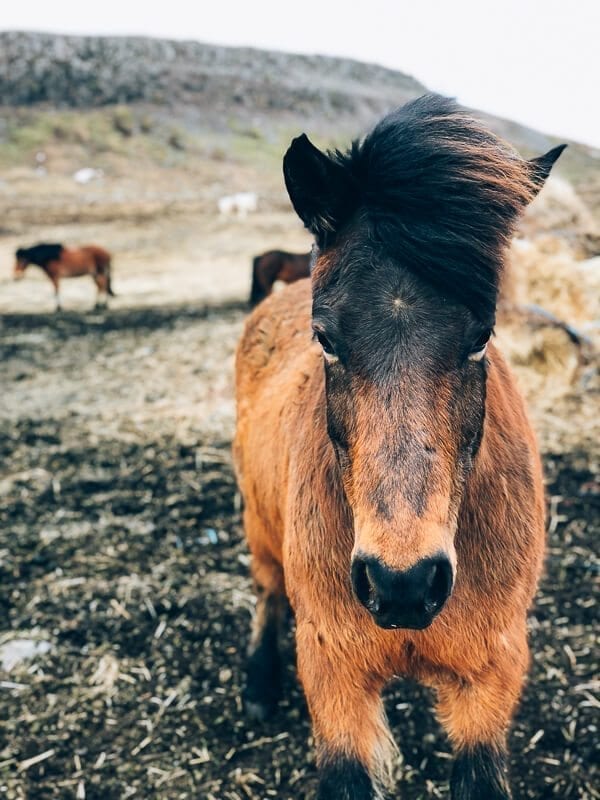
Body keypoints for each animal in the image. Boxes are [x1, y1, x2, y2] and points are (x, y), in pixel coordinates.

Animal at [233, 94, 565, 800]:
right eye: (326, 337)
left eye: (482, 334)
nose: (403, 583)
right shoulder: (334, 679)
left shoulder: (490, 677)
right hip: (257, 525)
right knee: (268, 592)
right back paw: (259, 685)